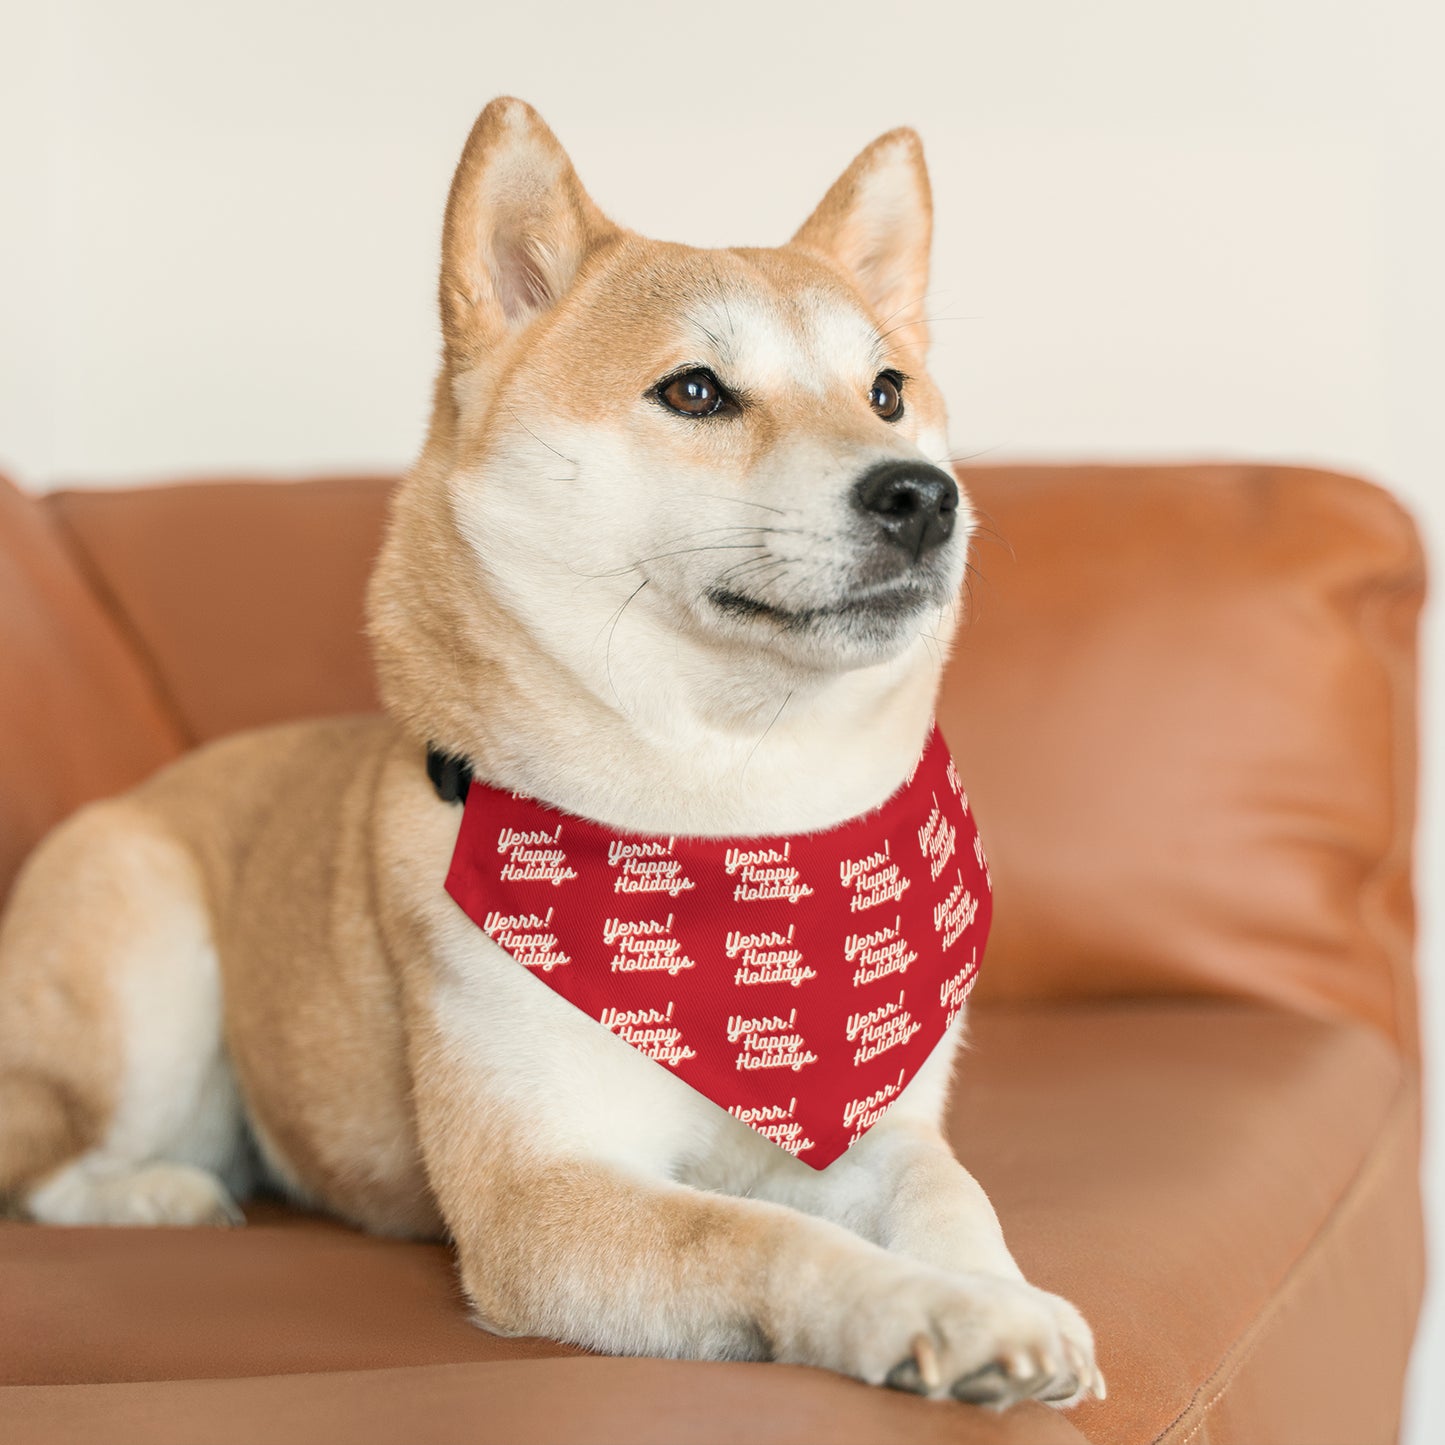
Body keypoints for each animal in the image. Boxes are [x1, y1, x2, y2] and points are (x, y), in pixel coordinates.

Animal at [0, 101, 1098, 1410]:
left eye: (886, 390)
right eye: (694, 389)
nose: (923, 496)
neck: (730, 816)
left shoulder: (877, 1124)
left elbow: (948, 1192)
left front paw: (998, 1292)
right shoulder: (541, 1194)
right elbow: (762, 1235)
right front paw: (929, 1309)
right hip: (145, 962)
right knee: (49, 1167)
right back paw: (162, 1192)